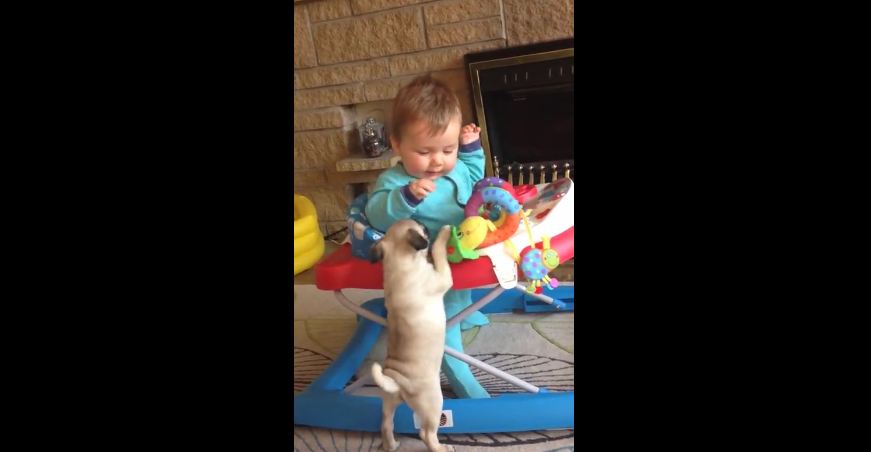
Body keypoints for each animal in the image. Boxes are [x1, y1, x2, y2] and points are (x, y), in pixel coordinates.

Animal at [368, 220, 456, 452]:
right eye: (423, 229)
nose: (427, 226)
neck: (398, 263)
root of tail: (397, 382)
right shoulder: (442, 277)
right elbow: (438, 252)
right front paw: (443, 235)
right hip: (434, 402)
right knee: (426, 434)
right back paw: (441, 448)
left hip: (388, 403)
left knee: (386, 424)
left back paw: (391, 444)